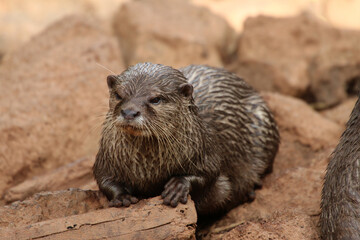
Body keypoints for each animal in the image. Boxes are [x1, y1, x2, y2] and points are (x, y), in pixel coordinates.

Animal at [92, 62, 278, 217]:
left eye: (156, 99)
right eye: (119, 95)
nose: (129, 112)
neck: (149, 169)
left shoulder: (205, 153)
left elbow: (211, 175)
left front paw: (178, 185)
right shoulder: (107, 157)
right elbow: (103, 178)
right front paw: (122, 196)